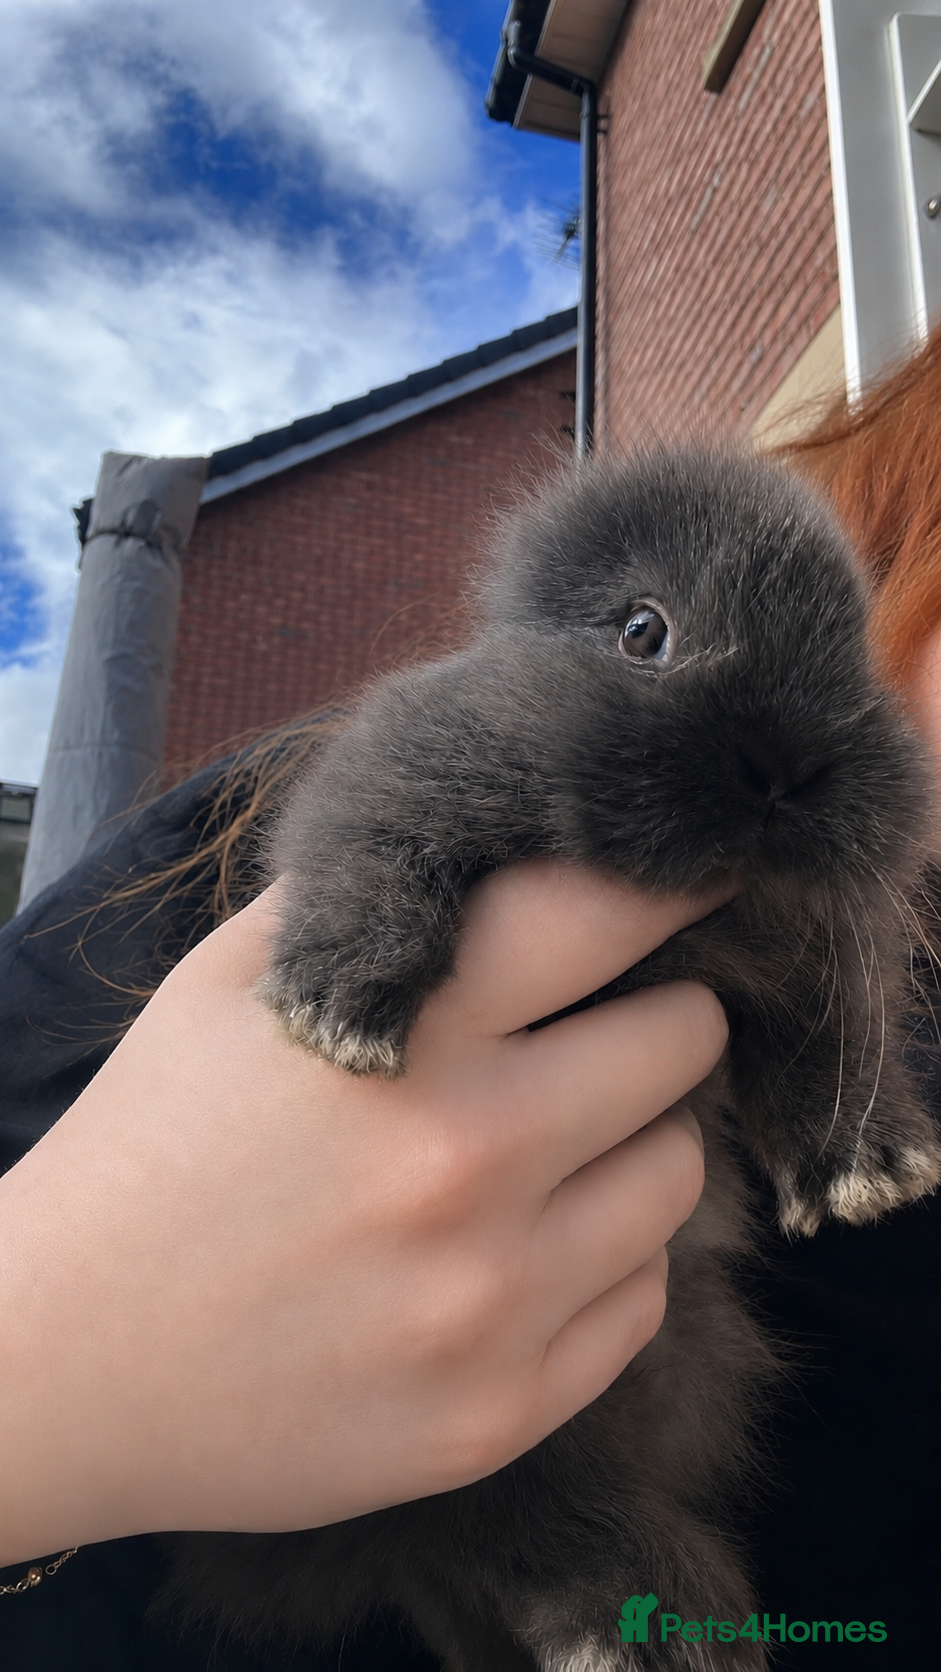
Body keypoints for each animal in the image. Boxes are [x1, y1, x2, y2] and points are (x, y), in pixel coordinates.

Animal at [162, 450, 941, 1672]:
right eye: (641, 630)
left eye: (852, 643)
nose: (788, 767)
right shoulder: (403, 767)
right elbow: (370, 854)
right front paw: (332, 1017)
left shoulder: (814, 948)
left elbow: (831, 1038)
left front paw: (870, 1172)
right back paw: (640, 1622)